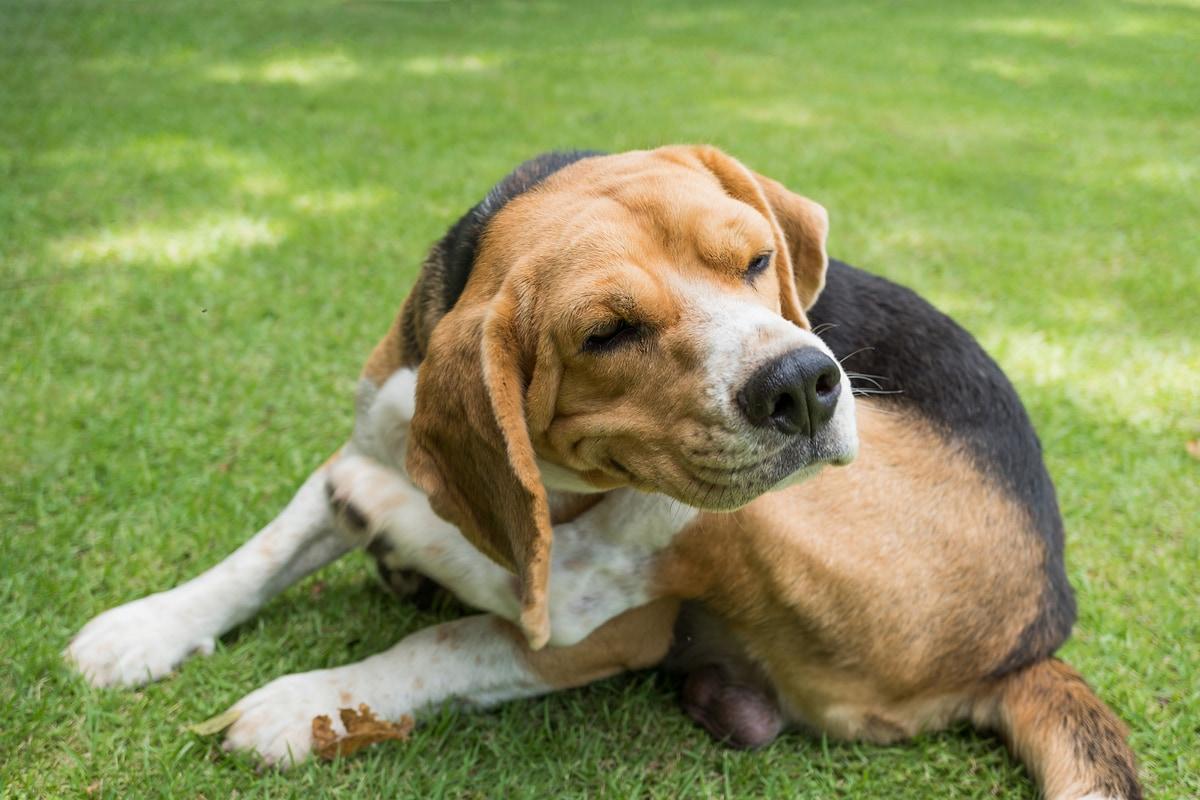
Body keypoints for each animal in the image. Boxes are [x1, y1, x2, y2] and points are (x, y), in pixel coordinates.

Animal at [68, 146, 1142, 796]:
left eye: (757, 262)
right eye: (607, 332)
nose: (805, 383)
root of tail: (1035, 637)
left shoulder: (610, 630)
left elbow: (445, 645)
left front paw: (304, 704)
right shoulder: (372, 422)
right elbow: (262, 552)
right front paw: (144, 631)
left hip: (758, 514)